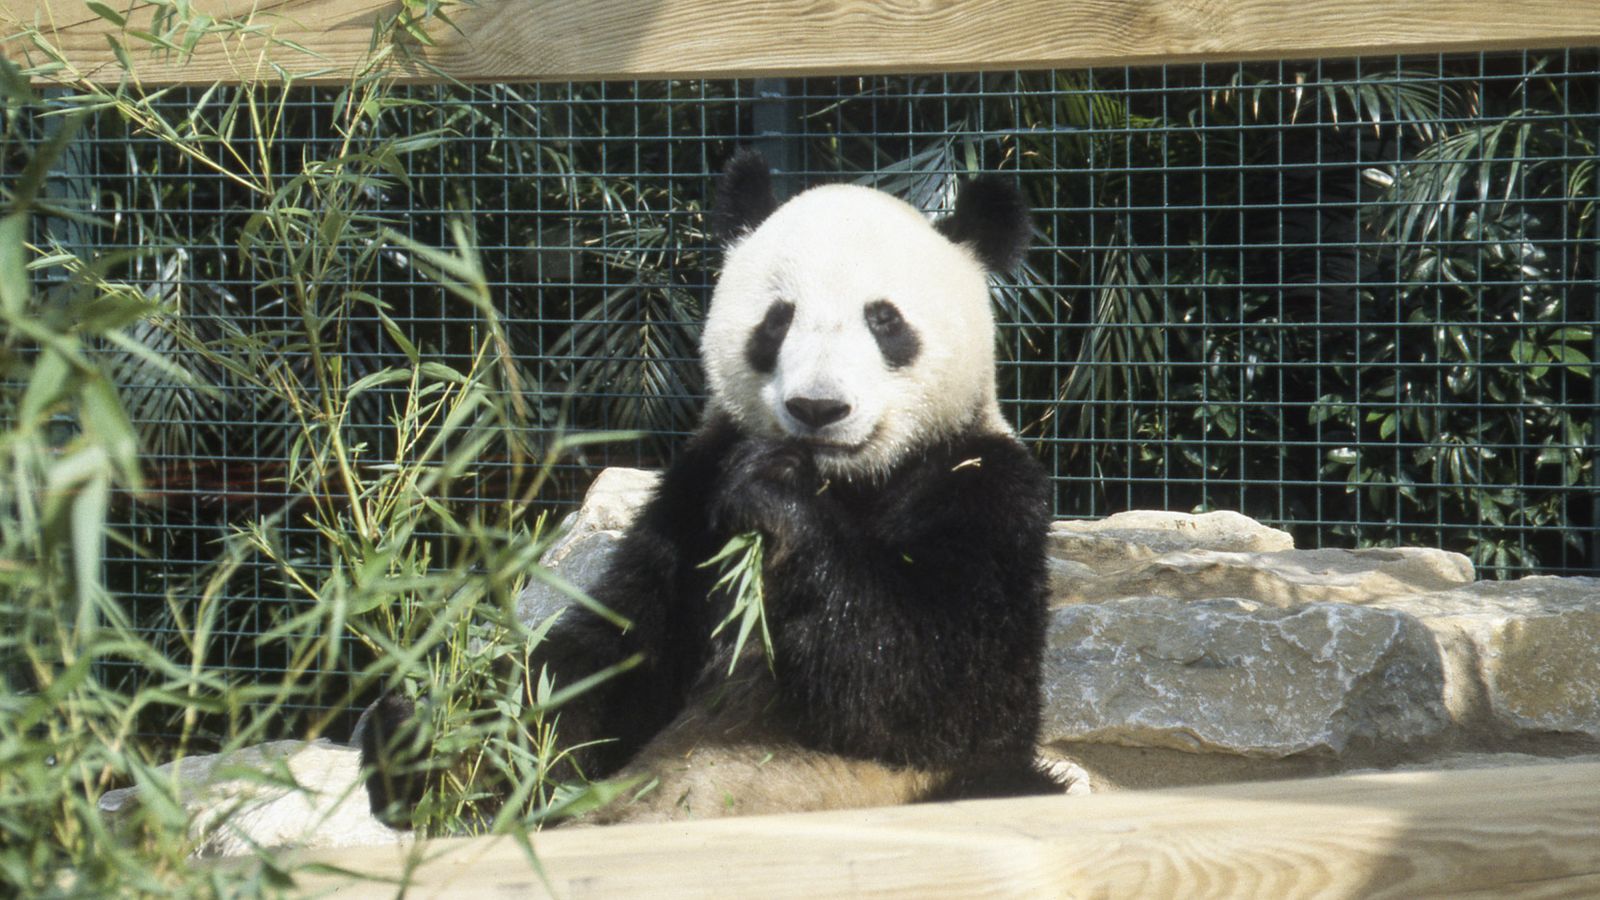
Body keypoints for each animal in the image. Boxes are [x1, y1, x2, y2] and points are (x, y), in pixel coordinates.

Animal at [364, 150, 1057, 824]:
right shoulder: (689, 498)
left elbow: (942, 684)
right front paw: (434, 747)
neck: (846, 481)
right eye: (777, 321)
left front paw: (775, 499)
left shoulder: (984, 487)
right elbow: (609, 660)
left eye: (884, 321)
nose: (818, 408)